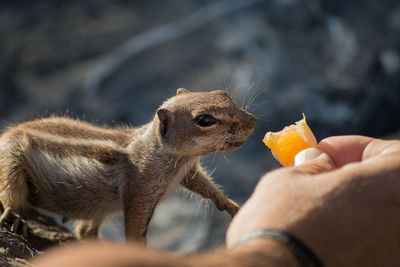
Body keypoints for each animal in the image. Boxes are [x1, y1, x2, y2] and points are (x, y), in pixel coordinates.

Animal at [0, 89, 256, 244]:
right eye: (205, 120)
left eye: (223, 93)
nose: (252, 121)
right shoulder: (141, 190)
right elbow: (135, 230)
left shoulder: (188, 172)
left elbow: (204, 185)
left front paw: (230, 204)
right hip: (10, 161)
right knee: (10, 192)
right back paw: (14, 216)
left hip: (99, 209)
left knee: (85, 230)